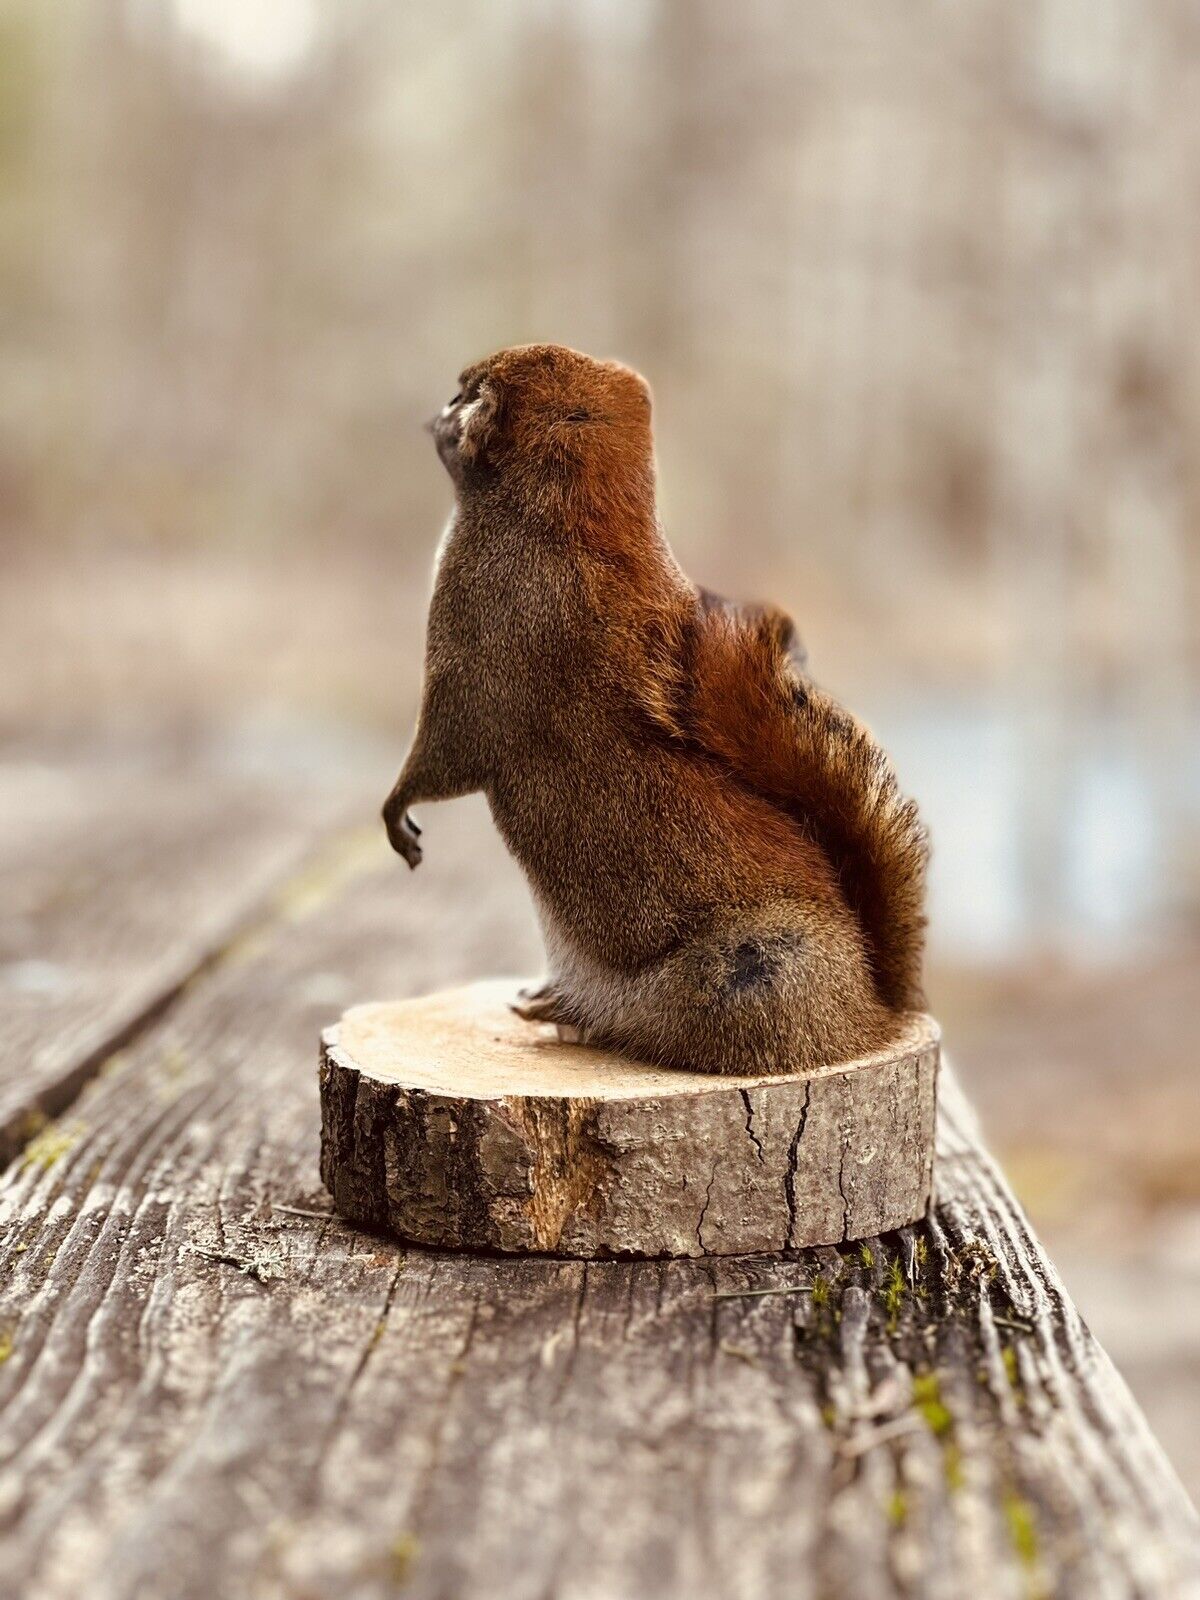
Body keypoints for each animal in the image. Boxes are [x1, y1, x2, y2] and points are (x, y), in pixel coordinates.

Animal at [383, 344, 929, 1074]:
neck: (562, 519)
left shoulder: (477, 653)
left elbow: (442, 755)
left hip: (748, 972)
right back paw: (550, 1002)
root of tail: (871, 1015)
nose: (431, 415)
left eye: (466, 396)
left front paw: (397, 812)